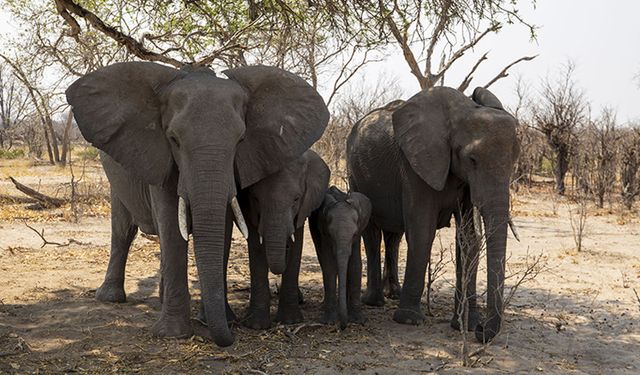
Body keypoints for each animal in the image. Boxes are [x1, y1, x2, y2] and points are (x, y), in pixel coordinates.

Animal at [239, 149, 330, 328]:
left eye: (296, 199)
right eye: (256, 199)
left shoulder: (304, 206)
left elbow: (296, 245)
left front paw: (290, 321)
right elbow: (256, 246)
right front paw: (256, 326)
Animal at [308, 187, 370, 330]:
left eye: (354, 234)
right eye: (331, 234)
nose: (342, 327)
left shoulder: (358, 234)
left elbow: (355, 265)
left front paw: (358, 320)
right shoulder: (323, 231)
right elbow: (329, 266)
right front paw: (329, 321)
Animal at [350, 86, 520, 344]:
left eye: (514, 160)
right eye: (472, 160)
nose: (482, 332)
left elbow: (468, 239)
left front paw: (466, 325)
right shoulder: (416, 166)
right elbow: (422, 232)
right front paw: (409, 320)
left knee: (394, 235)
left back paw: (393, 294)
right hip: (355, 173)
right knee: (372, 233)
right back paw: (374, 302)